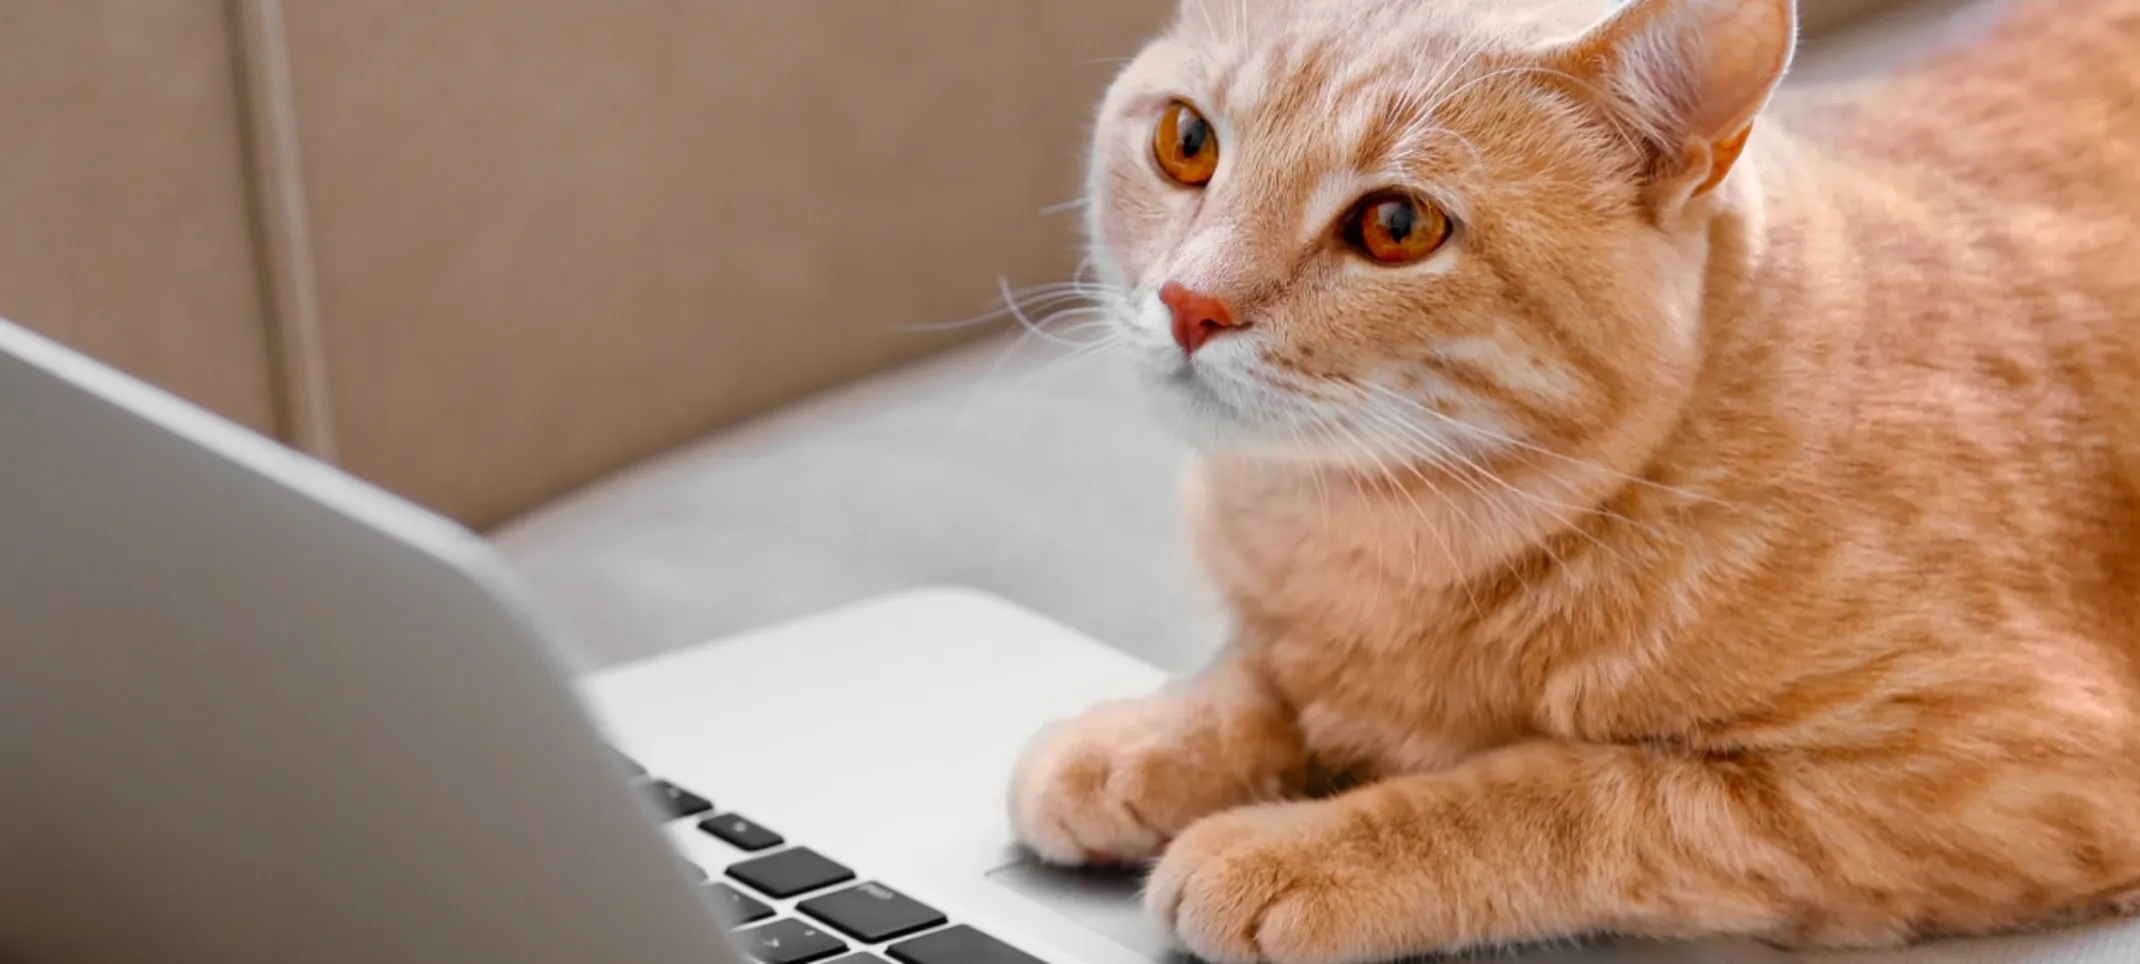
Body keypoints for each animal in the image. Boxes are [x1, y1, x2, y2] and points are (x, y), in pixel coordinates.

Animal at [1010, 0, 2140, 959]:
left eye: (1395, 227)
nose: (1189, 302)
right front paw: (1139, 739)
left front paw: (1298, 848)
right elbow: (1260, 674)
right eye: (1187, 143)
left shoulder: (1996, 778)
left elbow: (1573, 794)